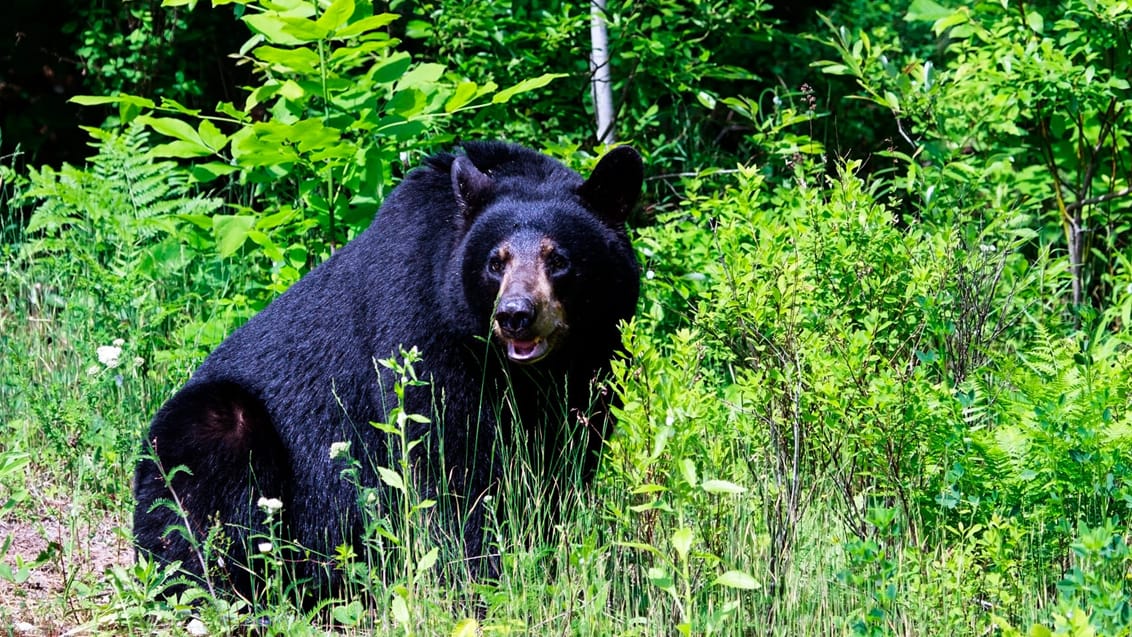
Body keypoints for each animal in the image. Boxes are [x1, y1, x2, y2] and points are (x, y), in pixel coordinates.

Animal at [131, 141, 642, 601]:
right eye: (495, 262)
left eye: (558, 259)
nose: (515, 314)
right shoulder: (422, 328)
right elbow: (447, 460)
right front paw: (480, 576)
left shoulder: (595, 358)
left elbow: (567, 460)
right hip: (204, 430)